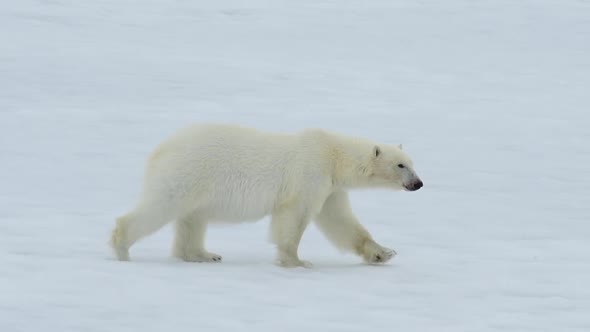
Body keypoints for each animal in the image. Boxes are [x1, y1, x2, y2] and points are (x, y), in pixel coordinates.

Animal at [111, 124, 424, 268]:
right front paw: (297, 261)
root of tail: (159, 150)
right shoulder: (309, 173)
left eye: (412, 163)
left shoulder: (331, 187)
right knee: (162, 206)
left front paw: (383, 252)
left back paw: (204, 254)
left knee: (193, 219)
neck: (333, 155)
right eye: (401, 165)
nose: (419, 184)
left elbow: (340, 221)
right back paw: (122, 248)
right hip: (187, 172)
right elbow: (294, 217)